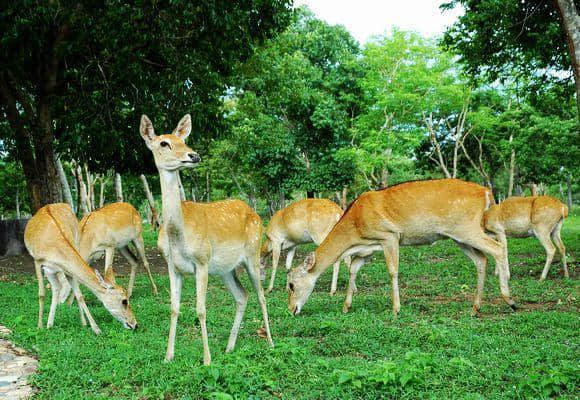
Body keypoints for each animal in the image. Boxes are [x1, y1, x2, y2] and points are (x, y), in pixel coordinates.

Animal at [24, 203, 138, 334]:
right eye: (124, 301)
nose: (135, 324)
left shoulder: (67, 269)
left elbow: (79, 295)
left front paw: (93, 328)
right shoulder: (38, 262)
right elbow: (42, 294)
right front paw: (39, 326)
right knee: (55, 288)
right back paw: (49, 324)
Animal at [142, 114, 276, 364]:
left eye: (183, 140)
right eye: (164, 143)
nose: (193, 155)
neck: (176, 235)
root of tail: (254, 214)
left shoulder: (201, 261)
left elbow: (201, 309)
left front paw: (206, 359)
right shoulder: (172, 266)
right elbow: (174, 308)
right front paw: (168, 356)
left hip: (253, 253)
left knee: (261, 295)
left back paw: (271, 342)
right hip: (226, 269)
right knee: (242, 295)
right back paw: (229, 347)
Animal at [286, 180, 516, 318]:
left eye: (291, 285)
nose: (291, 310)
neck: (355, 229)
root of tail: (487, 192)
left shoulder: (390, 236)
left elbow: (392, 270)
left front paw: (396, 309)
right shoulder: (368, 248)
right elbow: (353, 269)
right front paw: (346, 306)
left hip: (466, 228)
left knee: (497, 248)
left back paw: (510, 300)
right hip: (459, 236)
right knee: (481, 259)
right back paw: (475, 307)